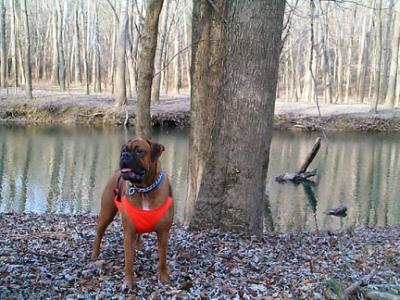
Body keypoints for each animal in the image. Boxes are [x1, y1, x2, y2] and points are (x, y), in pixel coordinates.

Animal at [92, 138, 173, 288]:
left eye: (139, 151)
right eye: (124, 149)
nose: (124, 155)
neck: (145, 188)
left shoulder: (164, 232)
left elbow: (163, 259)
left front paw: (164, 278)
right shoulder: (129, 231)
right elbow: (129, 260)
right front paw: (128, 282)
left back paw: (139, 246)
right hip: (106, 214)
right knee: (99, 233)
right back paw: (94, 254)